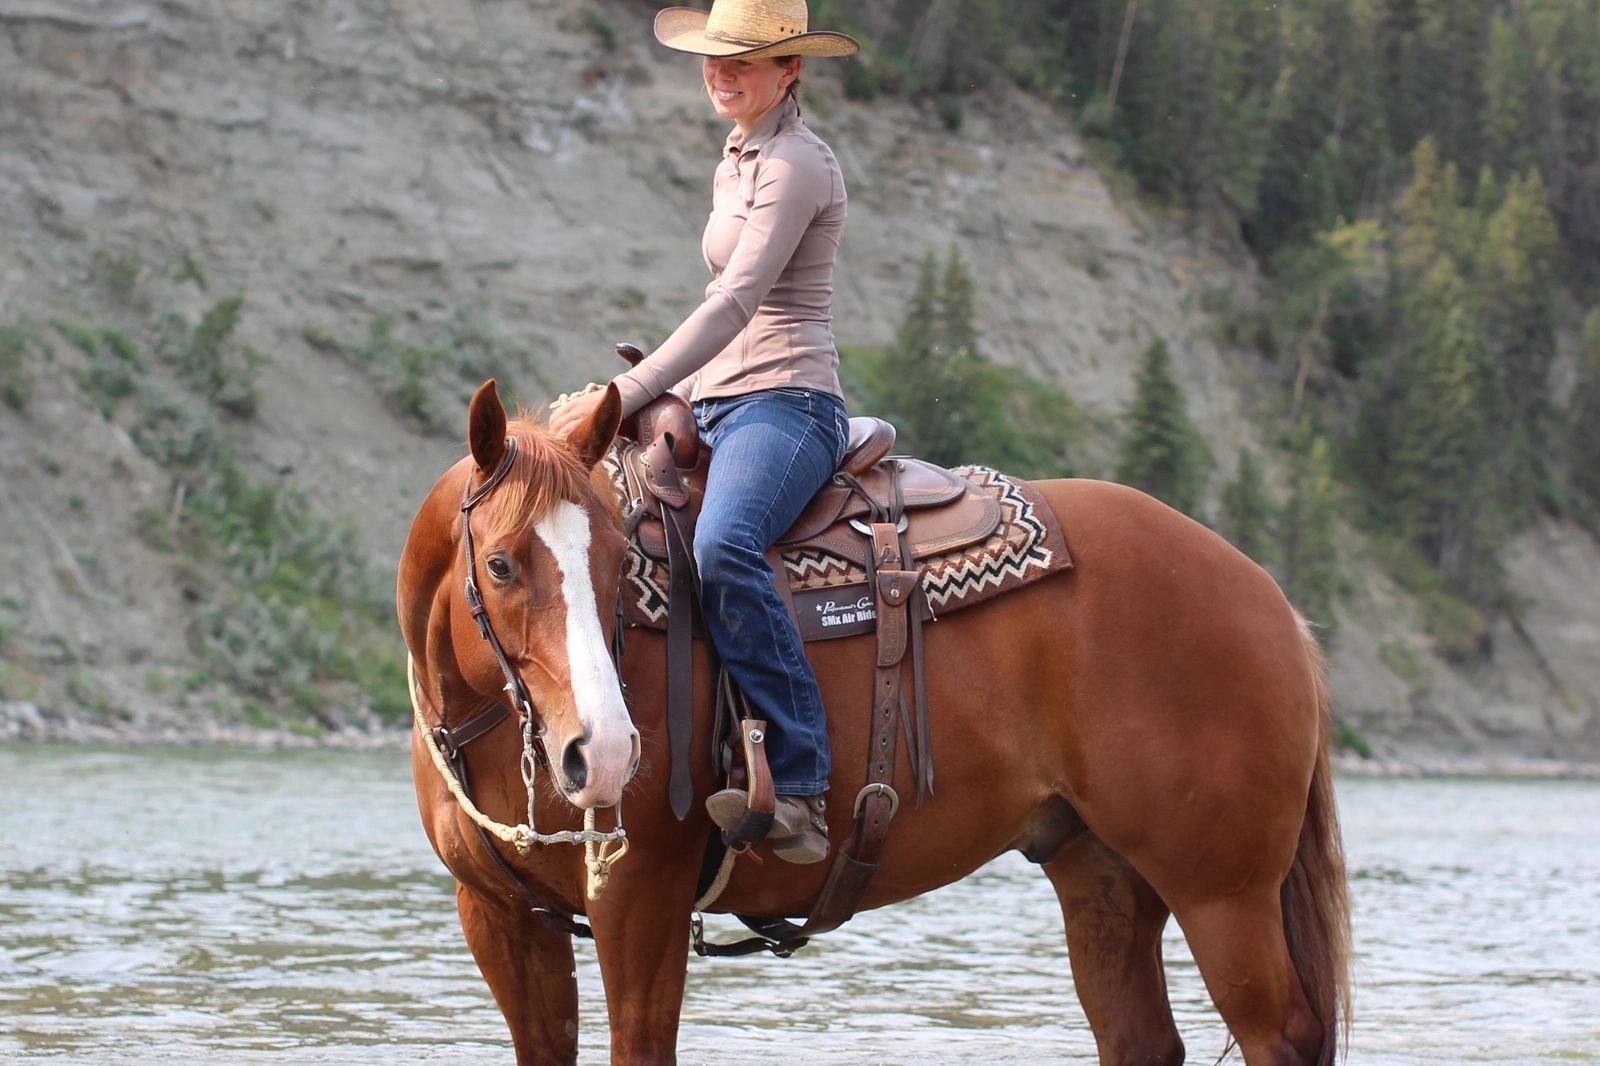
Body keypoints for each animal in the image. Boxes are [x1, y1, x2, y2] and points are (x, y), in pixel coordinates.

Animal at [397, 379, 1351, 1066]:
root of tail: (1267, 594)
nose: (602, 754)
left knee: (1283, 1037)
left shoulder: (640, 901)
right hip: (1103, 875)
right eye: (500, 564)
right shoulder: (500, 919)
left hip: (1222, 892)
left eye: (611, 560)